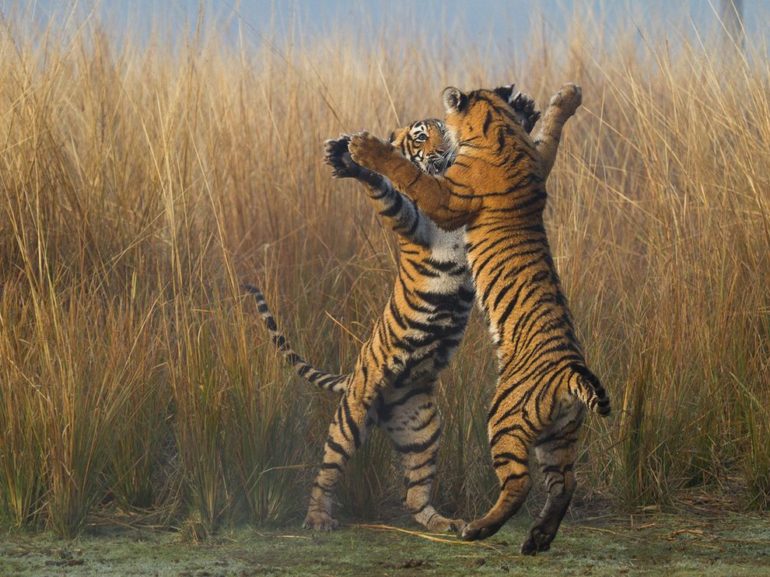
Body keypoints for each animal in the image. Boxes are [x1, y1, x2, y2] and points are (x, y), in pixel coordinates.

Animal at [248, 88, 575, 533]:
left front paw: (523, 108)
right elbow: (387, 186)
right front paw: (351, 157)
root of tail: (362, 380)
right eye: (421, 137)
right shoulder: (413, 221)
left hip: (423, 425)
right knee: (327, 469)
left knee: (415, 492)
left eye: (443, 131)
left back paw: (443, 523)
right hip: (352, 413)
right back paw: (317, 518)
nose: (442, 152)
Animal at [342, 82, 610, 554]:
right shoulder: (539, 160)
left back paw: (477, 529)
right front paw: (567, 97)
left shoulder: (449, 197)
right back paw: (538, 539)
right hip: (560, 435)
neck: (498, 129)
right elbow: (551, 133)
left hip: (504, 417)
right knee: (565, 483)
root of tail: (570, 373)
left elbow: (410, 176)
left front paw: (367, 147)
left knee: (519, 484)